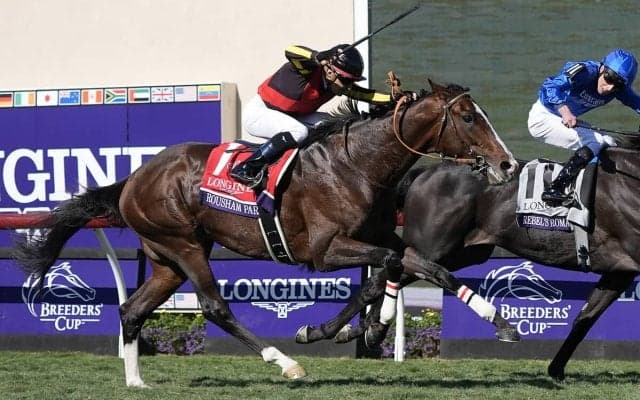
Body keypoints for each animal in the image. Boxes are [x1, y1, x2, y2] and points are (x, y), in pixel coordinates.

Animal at [12, 80, 518, 387]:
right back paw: (285, 362)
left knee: (131, 309)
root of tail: (134, 178)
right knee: (214, 307)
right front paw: (334, 331)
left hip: (165, 259)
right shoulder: (324, 251)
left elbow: (422, 264)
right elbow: (384, 271)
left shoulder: (382, 237)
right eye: (469, 118)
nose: (507, 163)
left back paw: (136, 380)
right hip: (185, 244)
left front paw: (497, 318)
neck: (358, 165)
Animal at [325, 144, 640, 381]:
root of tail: (425, 172)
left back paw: (355, 330)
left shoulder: (619, 271)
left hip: (462, 251)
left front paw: (556, 369)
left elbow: (585, 317)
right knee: (404, 267)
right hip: (434, 246)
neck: (631, 181)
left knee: (387, 275)